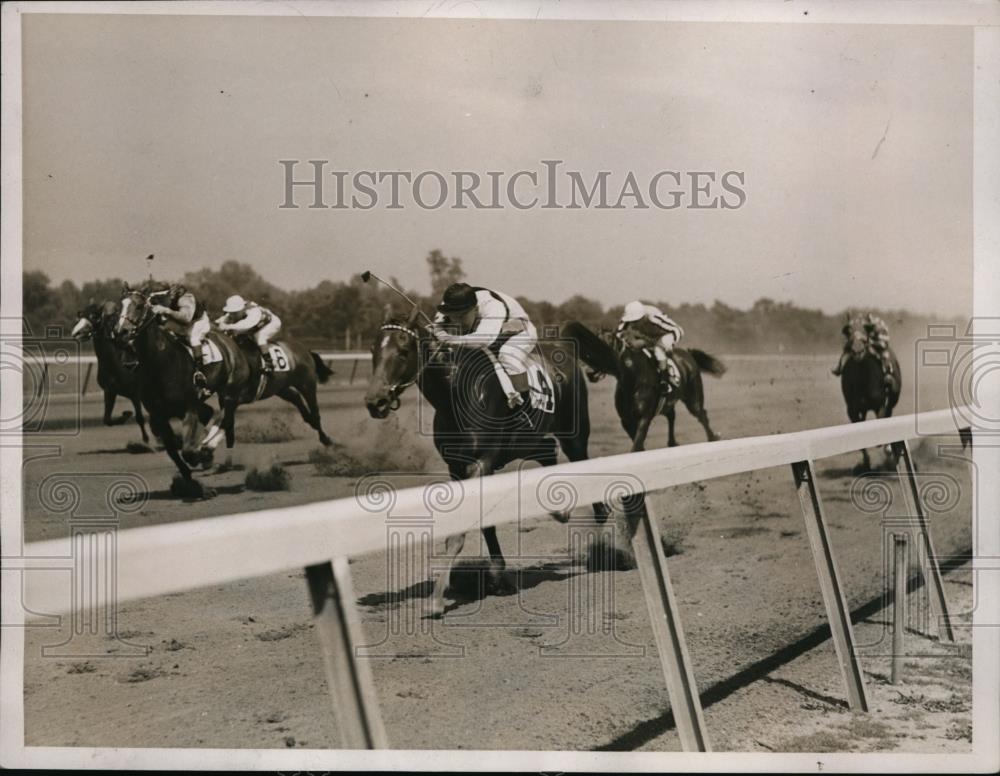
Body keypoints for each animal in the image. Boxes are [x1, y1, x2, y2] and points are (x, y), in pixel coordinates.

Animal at [71, 300, 151, 442]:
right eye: (80, 315)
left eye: (94, 316)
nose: (76, 333)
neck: (116, 365)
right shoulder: (110, 391)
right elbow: (107, 420)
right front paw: (125, 415)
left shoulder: (135, 393)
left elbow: (140, 418)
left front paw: (146, 438)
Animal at [116, 282, 336, 494]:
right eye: (120, 306)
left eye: (139, 306)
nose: (121, 332)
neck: (162, 363)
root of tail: (302, 349)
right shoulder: (159, 415)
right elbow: (174, 451)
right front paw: (192, 478)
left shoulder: (191, 406)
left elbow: (191, 447)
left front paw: (201, 456)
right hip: (280, 389)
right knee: (298, 408)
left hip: (303, 383)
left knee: (313, 413)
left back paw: (328, 441)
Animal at [366, 310, 608, 620]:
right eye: (374, 351)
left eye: (404, 350)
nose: (375, 401)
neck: (456, 394)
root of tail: (562, 345)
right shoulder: (457, 467)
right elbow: (485, 525)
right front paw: (499, 577)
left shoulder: (482, 463)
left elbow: (461, 533)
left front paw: (435, 600)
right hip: (528, 440)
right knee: (547, 449)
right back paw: (561, 510)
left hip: (574, 436)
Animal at [560, 322, 724, 452]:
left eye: (603, 345)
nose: (589, 372)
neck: (632, 377)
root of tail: (688, 354)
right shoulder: (626, 420)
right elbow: (638, 445)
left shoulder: (644, 417)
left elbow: (637, 444)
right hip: (668, 403)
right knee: (672, 415)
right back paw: (672, 442)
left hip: (693, 398)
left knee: (702, 415)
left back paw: (713, 437)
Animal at [840, 316, 904, 472]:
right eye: (848, 331)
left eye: (866, 330)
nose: (857, 350)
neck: (864, 379)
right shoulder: (853, 409)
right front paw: (865, 463)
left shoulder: (880, 405)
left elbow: (882, 419)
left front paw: (886, 449)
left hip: (891, 402)